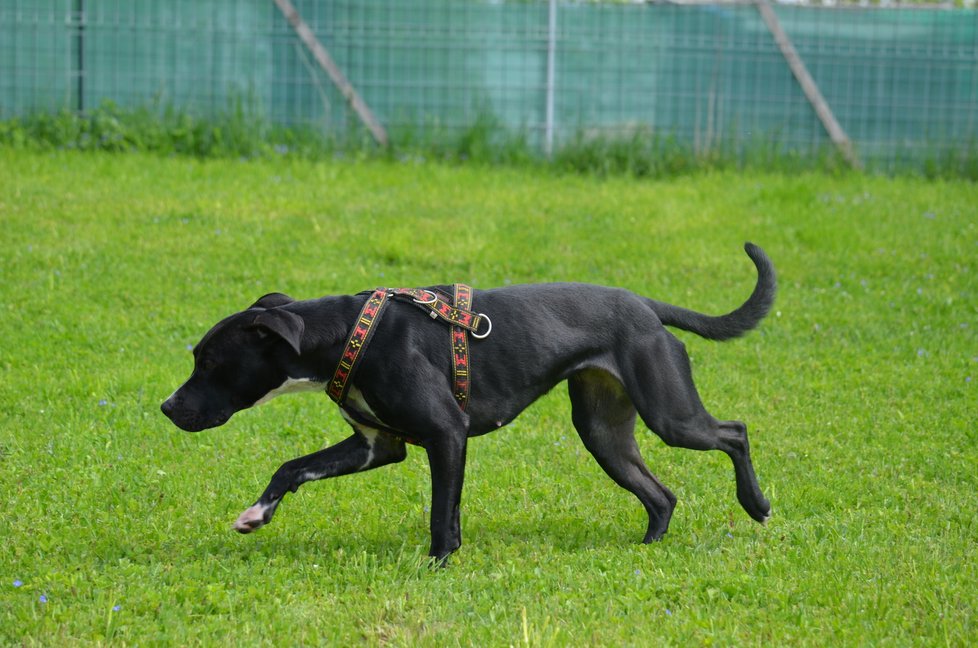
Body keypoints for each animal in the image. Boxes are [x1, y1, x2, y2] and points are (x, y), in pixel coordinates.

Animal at [160, 240, 772, 560]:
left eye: (208, 363)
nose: (166, 408)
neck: (348, 334)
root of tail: (645, 306)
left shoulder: (445, 436)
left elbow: (441, 514)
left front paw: (438, 564)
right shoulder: (376, 447)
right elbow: (291, 467)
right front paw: (255, 515)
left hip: (670, 415)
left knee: (735, 432)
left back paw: (756, 504)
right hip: (605, 434)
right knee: (661, 495)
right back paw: (646, 549)